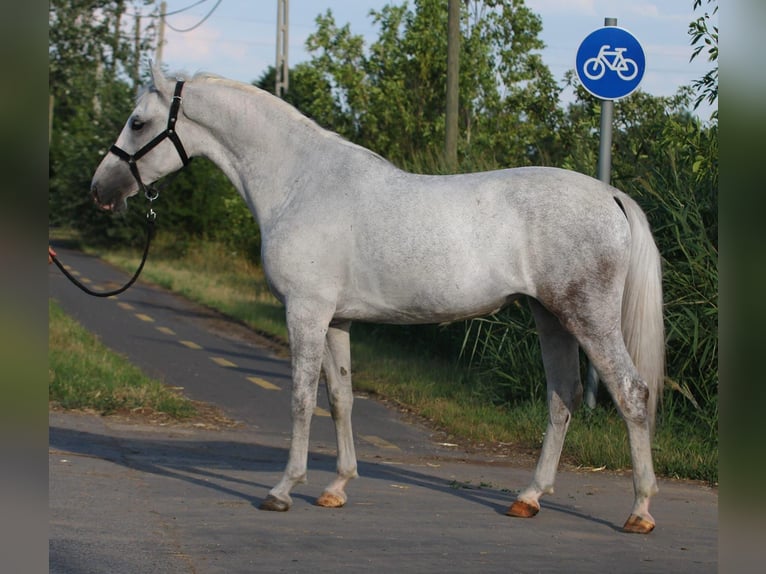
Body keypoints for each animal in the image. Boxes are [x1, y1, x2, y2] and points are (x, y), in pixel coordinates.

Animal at [91, 65, 665, 534]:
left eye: (138, 123)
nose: (100, 189)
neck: (299, 182)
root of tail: (610, 195)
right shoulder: (335, 320)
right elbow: (340, 398)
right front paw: (336, 488)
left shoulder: (305, 312)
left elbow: (300, 398)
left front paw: (282, 490)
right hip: (551, 317)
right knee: (563, 397)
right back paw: (529, 498)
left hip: (587, 316)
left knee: (631, 394)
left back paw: (639, 510)